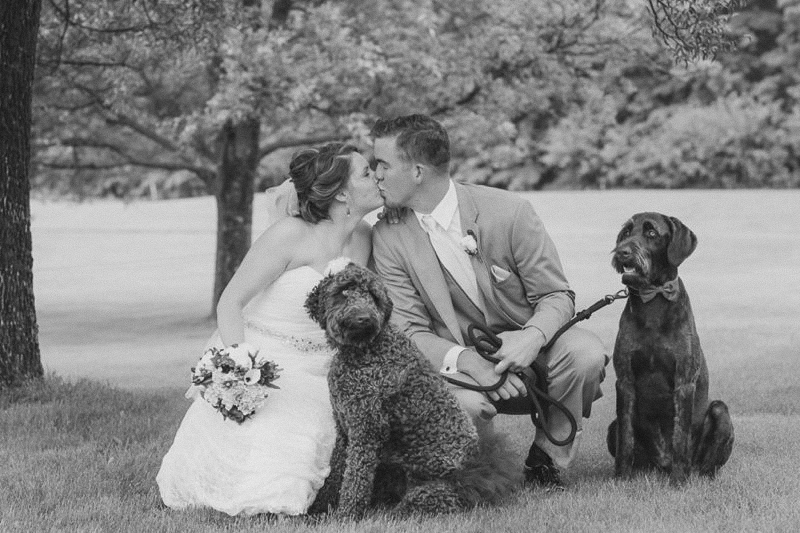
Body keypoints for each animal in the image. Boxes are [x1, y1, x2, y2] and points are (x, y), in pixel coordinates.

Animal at [304, 262, 520, 516]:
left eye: (373, 297)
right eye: (345, 291)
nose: (363, 318)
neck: (366, 351)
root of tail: (479, 473)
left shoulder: (366, 429)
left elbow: (355, 478)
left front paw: (346, 514)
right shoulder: (344, 424)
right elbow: (336, 470)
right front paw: (320, 509)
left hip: (428, 491)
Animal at [608, 212, 736, 482]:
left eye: (651, 232)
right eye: (626, 232)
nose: (622, 251)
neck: (654, 299)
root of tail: (661, 463)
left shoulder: (684, 381)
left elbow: (680, 434)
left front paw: (679, 480)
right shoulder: (624, 381)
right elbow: (626, 436)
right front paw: (621, 477)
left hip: (720, 411)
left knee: (707, 464)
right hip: (613, 428)